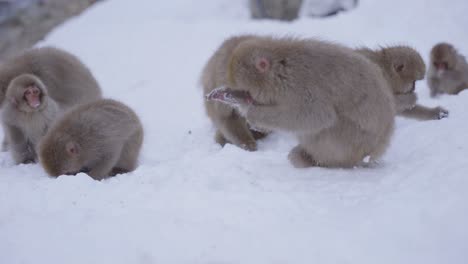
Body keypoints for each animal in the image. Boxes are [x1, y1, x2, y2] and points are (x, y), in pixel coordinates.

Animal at [207, 36, 394, 168]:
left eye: (247, 91)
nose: (247, 98)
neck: (282, 69)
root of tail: (380, 146)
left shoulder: (303, 87)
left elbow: (316, 116)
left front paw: (252, 114)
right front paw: (232, 99)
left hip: (350, 143)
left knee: (322, 129)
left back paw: (316, 160)